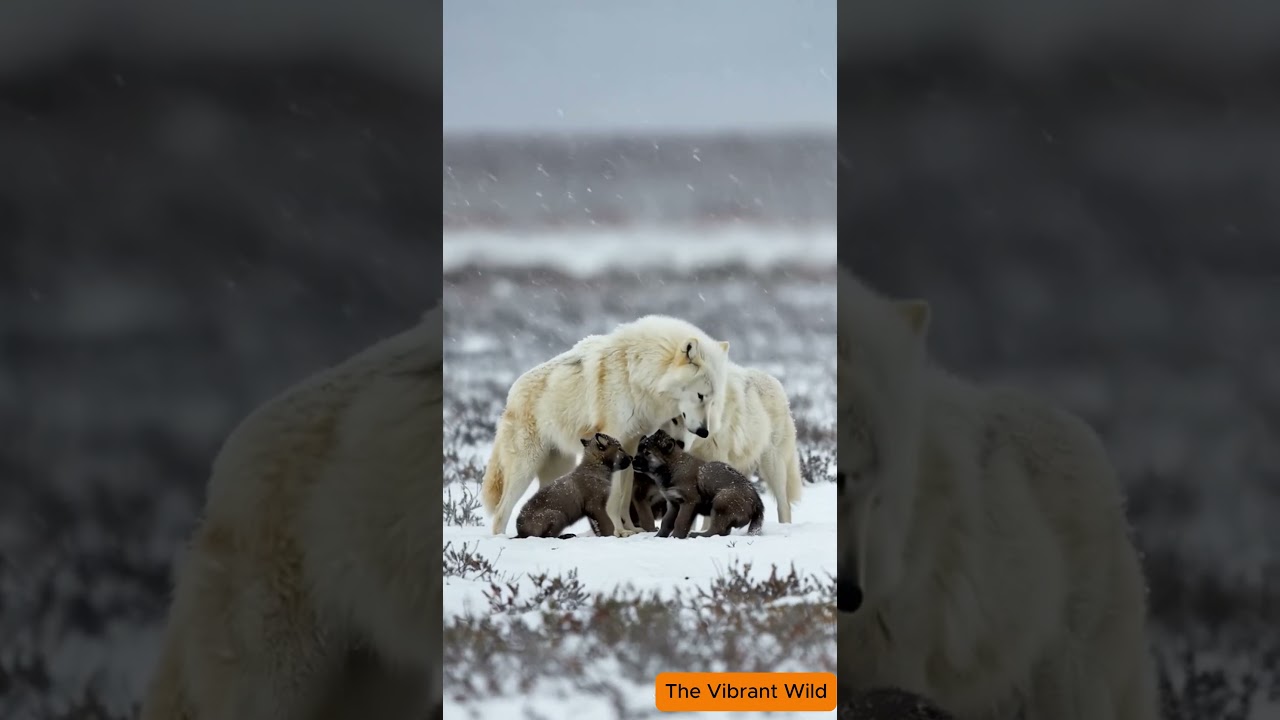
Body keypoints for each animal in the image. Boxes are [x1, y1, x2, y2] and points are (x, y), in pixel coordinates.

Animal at [481, 314, 731, 537]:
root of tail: (511, 393)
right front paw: (617, 531)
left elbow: (625, 495)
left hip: (558, 469)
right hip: (525, 468)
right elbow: (615, 495)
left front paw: (631, 529)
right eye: (700, 395)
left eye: (713, 400)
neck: (637, 375)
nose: (703, 431)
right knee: (501, 512)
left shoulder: (631, 445)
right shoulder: (613, 436)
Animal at [634, 429, 765, 538]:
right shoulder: (673, 503)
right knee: (723, 531)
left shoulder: (689, 502)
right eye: (638, 450)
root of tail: (757, 503)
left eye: (647, 453)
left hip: (721, 502)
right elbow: (666, 522)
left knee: (717, 529)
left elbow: (680, 522)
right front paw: (659, 537)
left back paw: (698, 535)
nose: (633, 460)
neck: (673, 467)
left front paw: (676, 537)